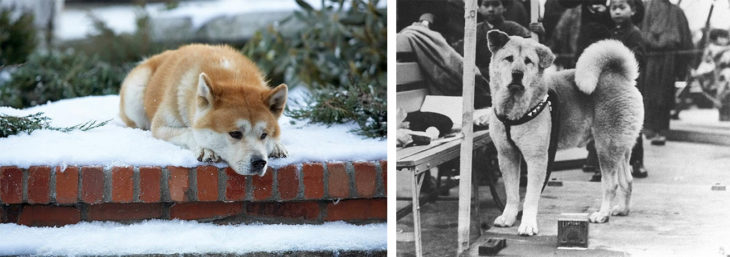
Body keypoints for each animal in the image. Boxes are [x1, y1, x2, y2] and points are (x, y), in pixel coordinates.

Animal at [118, 44, 286, 176]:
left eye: (264, 135)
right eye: (235, 133)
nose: (259, 162)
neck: (233, 78)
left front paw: (277, 146)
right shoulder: (160, 127)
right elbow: (189, 131)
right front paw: (205, 149)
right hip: (135, 94)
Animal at [480, 31, 640, 235]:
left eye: (528, 61)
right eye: (508, 58)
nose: (517, 74)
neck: (515, 110)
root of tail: (620, 76)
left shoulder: (537, 159)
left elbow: (530, 197)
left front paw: (527, 224)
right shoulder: (507, 156)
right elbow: (512, 193)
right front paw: (508, 217)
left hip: (606, 147)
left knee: (611, 185)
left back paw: (602, 214)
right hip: (620, 148)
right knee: (627, 180)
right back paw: (622, 210)